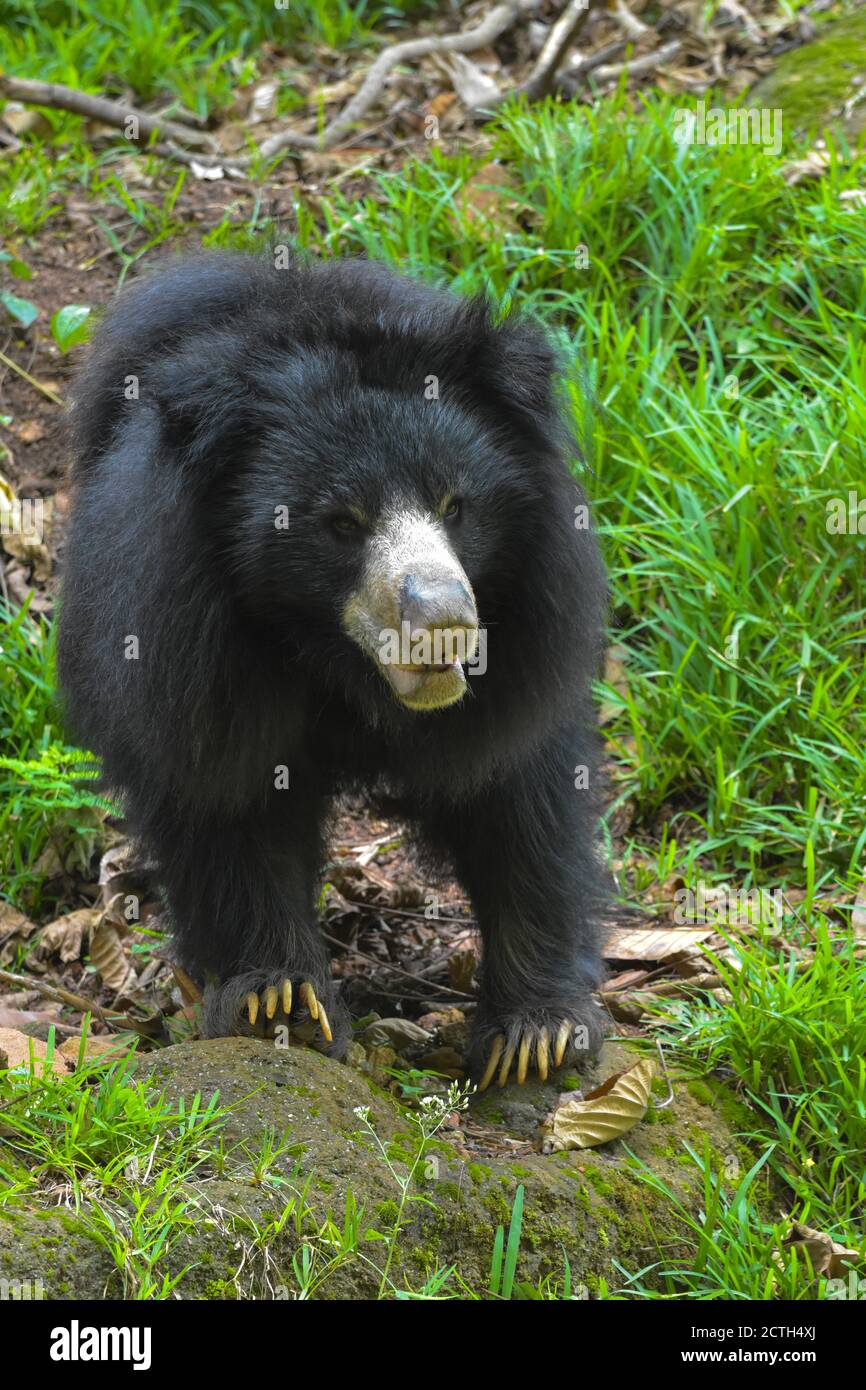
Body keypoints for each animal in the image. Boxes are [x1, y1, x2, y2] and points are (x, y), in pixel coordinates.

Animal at [59, 255, 608, 1089]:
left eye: (456, 504)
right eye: (341, 523)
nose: (443, 624)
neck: (342, 669)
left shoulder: (528, 638)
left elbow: (520, 797)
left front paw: (537, 1034)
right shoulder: (193, 655)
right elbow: (231, 806)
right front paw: (279, 1002)